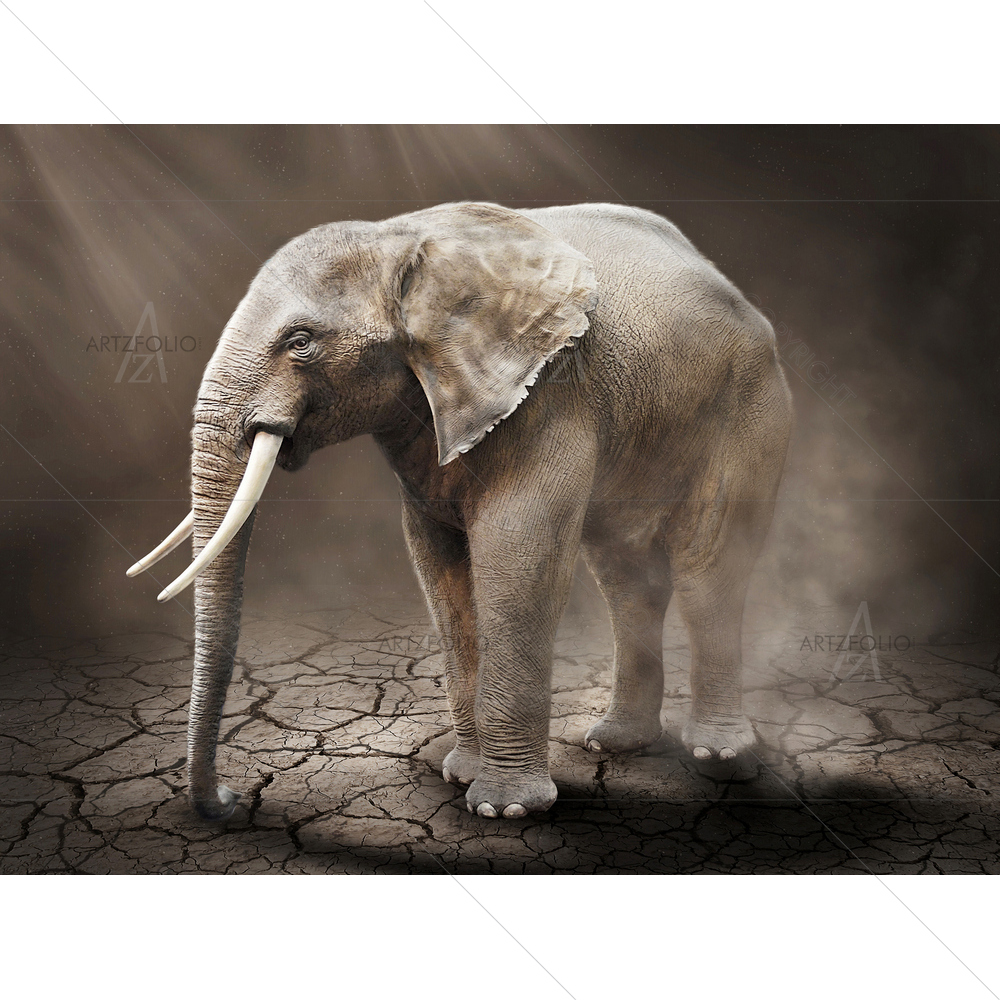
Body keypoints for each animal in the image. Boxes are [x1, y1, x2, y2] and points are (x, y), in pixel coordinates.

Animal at [128, 201, 792, 821]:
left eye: (301, 342)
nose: (230, 799)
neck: (397, 238)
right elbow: (439, 568)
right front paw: (460, 775)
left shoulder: (549, 396)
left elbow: (515, 559)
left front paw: (505, 810)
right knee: (627, 578)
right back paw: (615, 745)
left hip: (747, 410)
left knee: (708, 566)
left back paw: (718, 755)